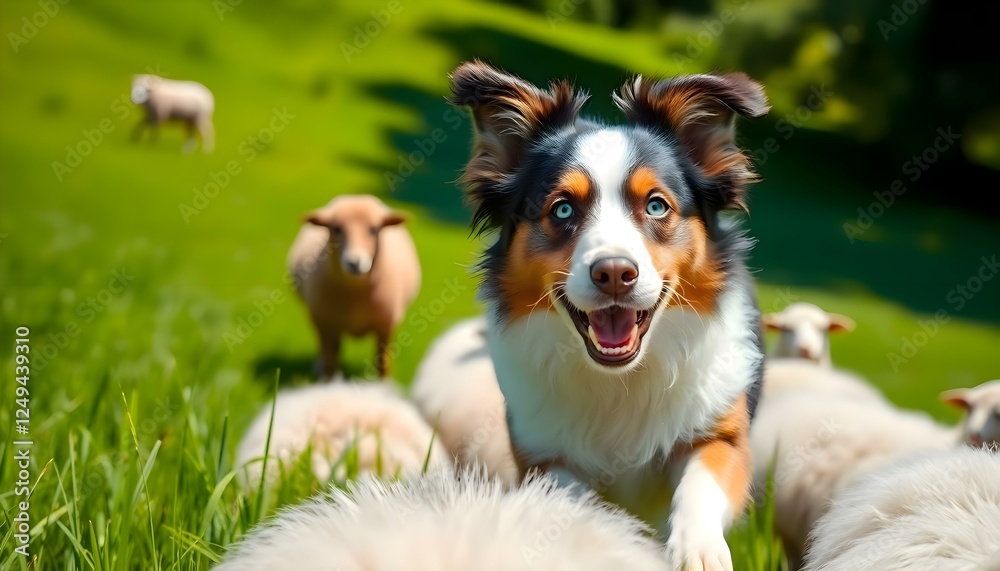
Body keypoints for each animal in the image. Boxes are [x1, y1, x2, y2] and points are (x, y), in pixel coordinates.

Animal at [288, 194, 420, 377]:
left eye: (374, 229)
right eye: (336, 229)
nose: (354, 263)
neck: (355, 291)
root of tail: (355, 197)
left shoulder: (386, 325)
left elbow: (383, 364)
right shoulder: (324, 322)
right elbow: (330, 365)